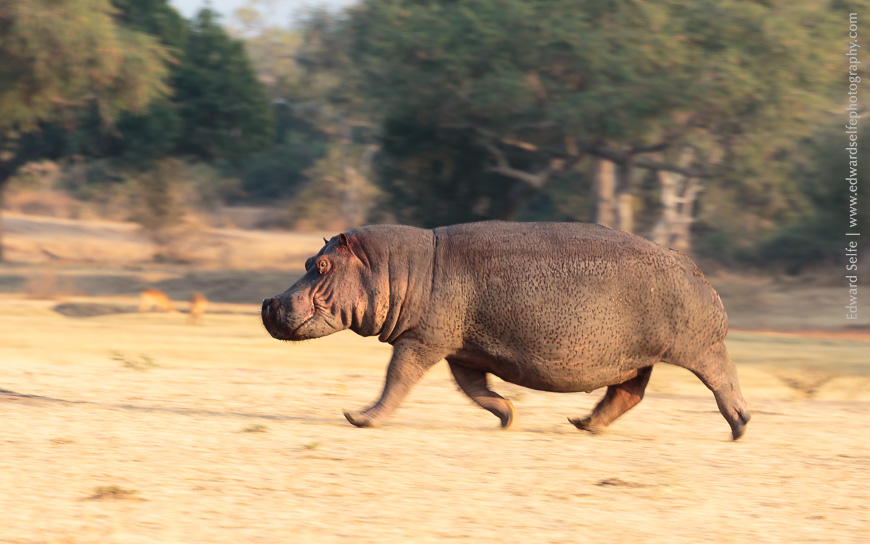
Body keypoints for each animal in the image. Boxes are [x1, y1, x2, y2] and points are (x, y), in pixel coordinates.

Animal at [262, 221, 751, 439]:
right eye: (309, 260)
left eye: (323, 265)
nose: (269, 302)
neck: (396, 267)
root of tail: (698, 271)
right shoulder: (461, 350)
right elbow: (474, 389)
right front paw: (507, 415)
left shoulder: (422, 340)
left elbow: (396, 378)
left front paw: (359, 418)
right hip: (635, 360)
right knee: (627, 394)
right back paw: (581, 423)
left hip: (699, 347)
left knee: (723, 378)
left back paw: (740, 426)